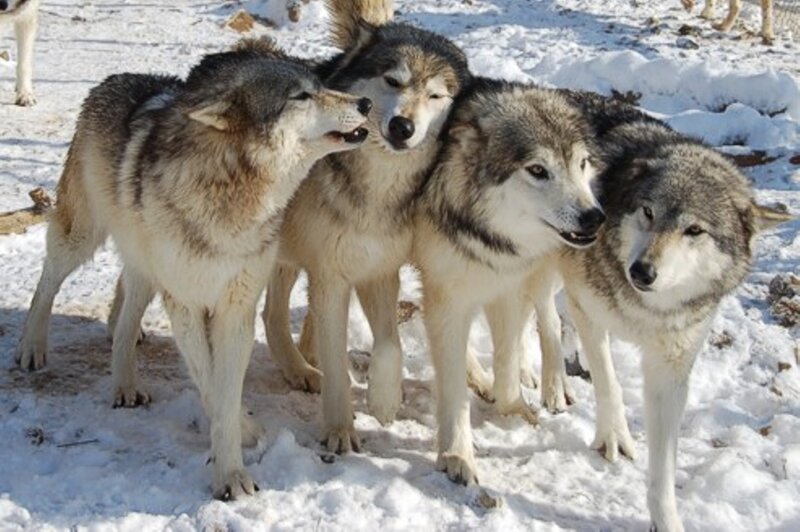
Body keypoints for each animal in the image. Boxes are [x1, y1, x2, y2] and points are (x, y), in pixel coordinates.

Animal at [15, 41, 370, 498]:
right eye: (301, 96)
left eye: (321, 85)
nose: (364, 103)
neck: (230, 193)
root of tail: (115, 77)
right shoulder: (184, 302)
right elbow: (208, 381)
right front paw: (234, 465)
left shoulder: (236, 308)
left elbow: (225, 390)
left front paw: (234, 456)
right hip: (81, 237)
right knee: (46, 283)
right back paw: (31, 347)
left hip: (145, 266)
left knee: (126, 315)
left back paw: (125, 385)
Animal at [261, 0, 471, 452]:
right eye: (393, 80)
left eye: (434, 95)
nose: (402, 127)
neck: (375, 190)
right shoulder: (331, 277)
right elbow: (338, 363)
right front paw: (340, 430)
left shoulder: (379, 269)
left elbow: (390, 344)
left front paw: (384, 401)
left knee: (274, 314)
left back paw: (301, 367)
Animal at [410, 78, 605, 485]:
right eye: (538, 170)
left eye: (581, 163)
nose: (594, 217)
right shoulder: (447, 294)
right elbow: (453, 387)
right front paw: (457, 455)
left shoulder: (504, 286)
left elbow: (507, 358)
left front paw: (513, 408)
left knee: (544, 318)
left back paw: (545, 384)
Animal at [516, 91, 793, 531]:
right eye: (648, 212)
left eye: (694, 230)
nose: (641, 271)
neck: (645, 308)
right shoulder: (587, 309)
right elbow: (609, 384)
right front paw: (614, 438)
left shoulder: (671, 366)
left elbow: (663, 466)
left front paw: (666, 519)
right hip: (547, 260)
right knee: (537, 307)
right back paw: (547, 379)